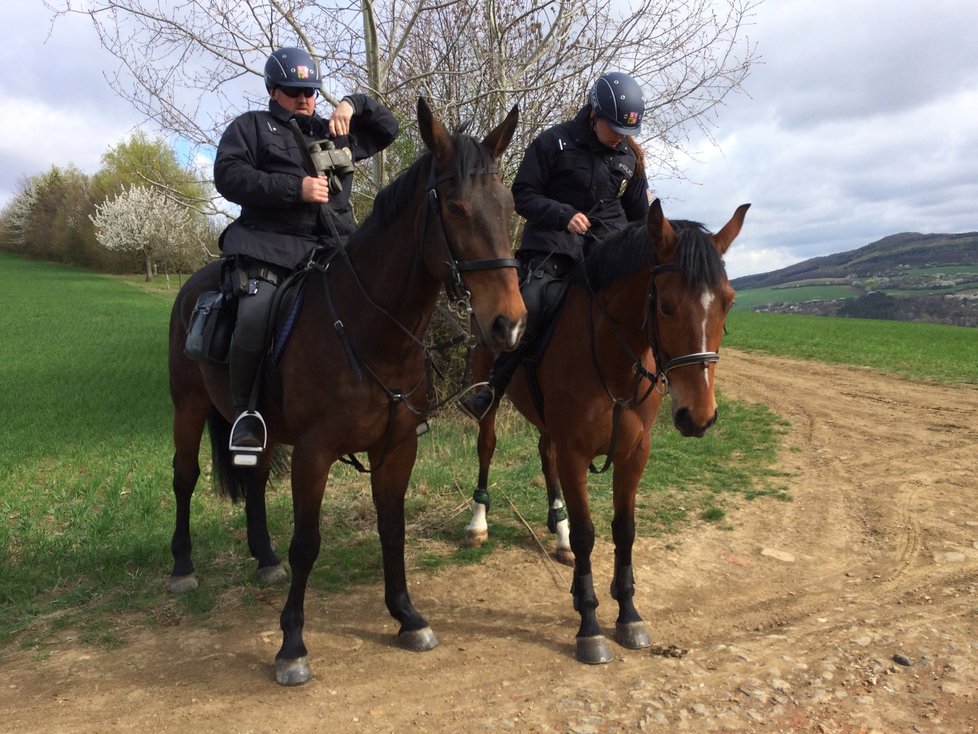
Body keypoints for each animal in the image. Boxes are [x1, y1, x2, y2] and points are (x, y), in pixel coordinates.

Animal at [166, 96, 528, 684]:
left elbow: (392, 528)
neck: (369, 328)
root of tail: (193, 286)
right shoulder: (314, 454)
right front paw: (292, 645)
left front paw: (406, 616)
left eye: (507, 204)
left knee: (256, 479)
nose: (509, 325)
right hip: (188, 408)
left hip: (259, 427)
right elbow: (307, 544)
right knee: (184, 478)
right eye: (454, 207)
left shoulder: (396, 448)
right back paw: (182, 565)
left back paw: (263, 559)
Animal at [466, 198, 748, 664]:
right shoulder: (576, 452)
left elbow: (624, 529)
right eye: (666, 305)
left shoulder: (635, 453)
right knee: (486, 445)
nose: (699, 416)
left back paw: (557, 528)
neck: (612, 357)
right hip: (487, 392)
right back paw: (478, 522)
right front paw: (590, 625)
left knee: (545, 455)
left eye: (728, 303)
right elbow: (588, 534)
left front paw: (629, 613)